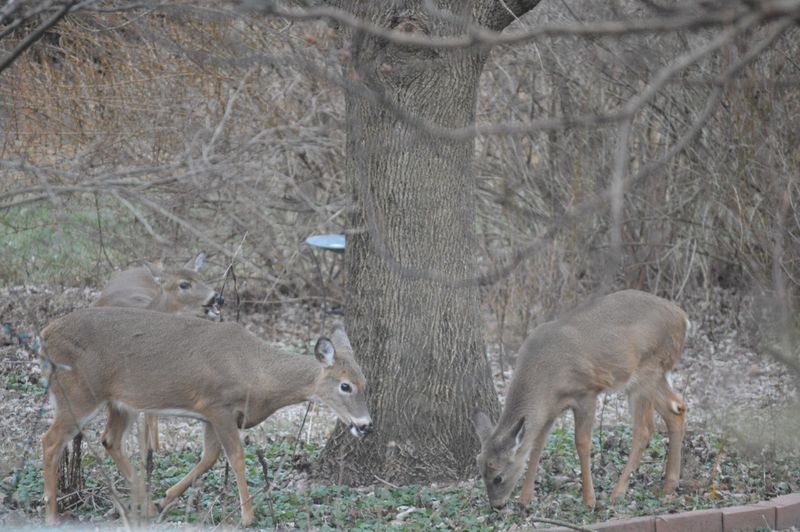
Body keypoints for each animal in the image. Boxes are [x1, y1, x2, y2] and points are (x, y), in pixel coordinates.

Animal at [40, 307, 372, 526]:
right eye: (345, 385)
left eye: (365, 383)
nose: (365, 425)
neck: (258, 374)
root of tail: (44, 335)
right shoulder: (219, 404)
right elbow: (236, 456)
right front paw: (247, 516)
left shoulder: (210, 415)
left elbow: (209, 457)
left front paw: (165, 497)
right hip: (79, 392)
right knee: (50, 440)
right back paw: (53, 514)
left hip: (121, 402)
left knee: (109, 440)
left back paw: (145, 505)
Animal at [472, 289, 688, 509]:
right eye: (481, 471)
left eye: (498, 476)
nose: (496, 504)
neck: (545, 378)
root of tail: (683, 318)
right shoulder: (550, 410)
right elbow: (537, 445)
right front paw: (525, 498)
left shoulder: (586, 393)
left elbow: (582, 443)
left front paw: (589, 499)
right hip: (653, 375)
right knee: (677, 408)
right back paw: (669, 485)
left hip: (646, 372)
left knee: (644, 430)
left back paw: (617, 493)